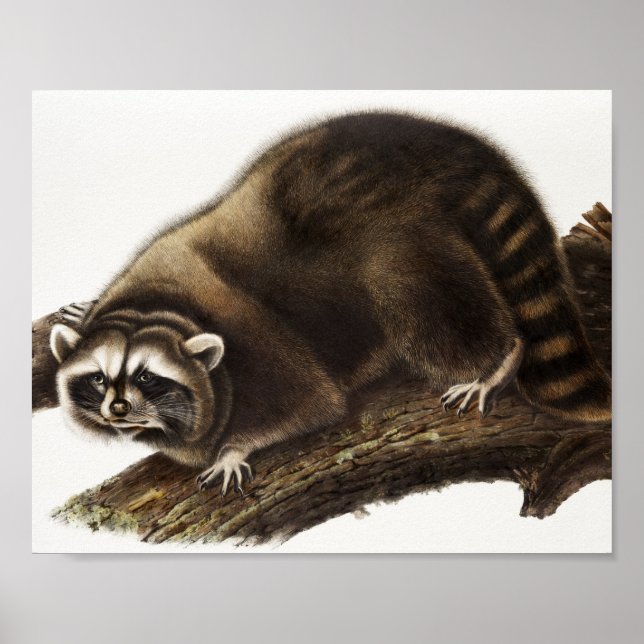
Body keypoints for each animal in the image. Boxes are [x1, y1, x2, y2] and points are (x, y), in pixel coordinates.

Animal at [50, 112, 611, 495]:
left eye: (148, 377)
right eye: (98, 378)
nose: (118, 409)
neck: (158, 307)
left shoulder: (257, 341)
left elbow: (313, 403)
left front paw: (233, 447)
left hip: (399, 239)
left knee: (419, 298)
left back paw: (498, 357)